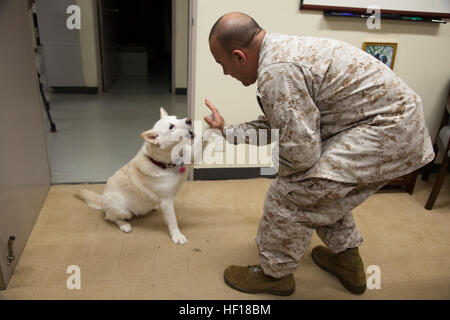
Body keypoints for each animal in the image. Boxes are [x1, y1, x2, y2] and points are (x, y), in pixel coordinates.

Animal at [76, 106, 212, 244]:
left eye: (177, 118)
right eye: (171, 127)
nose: (189, 120)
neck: (166, 163)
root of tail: (102, 201)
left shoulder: (192, 155)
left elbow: (203, 137)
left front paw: (211, 119)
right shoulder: (167, 202)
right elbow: (173, 221)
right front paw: (177, 236)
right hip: (122, 209)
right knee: (110, 217)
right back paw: (124, 224)